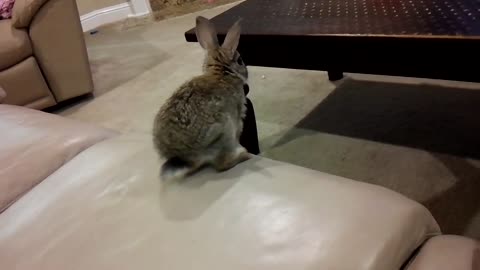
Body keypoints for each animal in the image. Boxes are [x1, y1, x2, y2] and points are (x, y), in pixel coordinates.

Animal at [153, 15, 251, 181]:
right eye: (240, 60)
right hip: (223, 131)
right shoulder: (237, 118)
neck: (221, 74)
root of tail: (184, 158)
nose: (246, 73)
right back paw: (244, 155)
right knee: (222, 165)